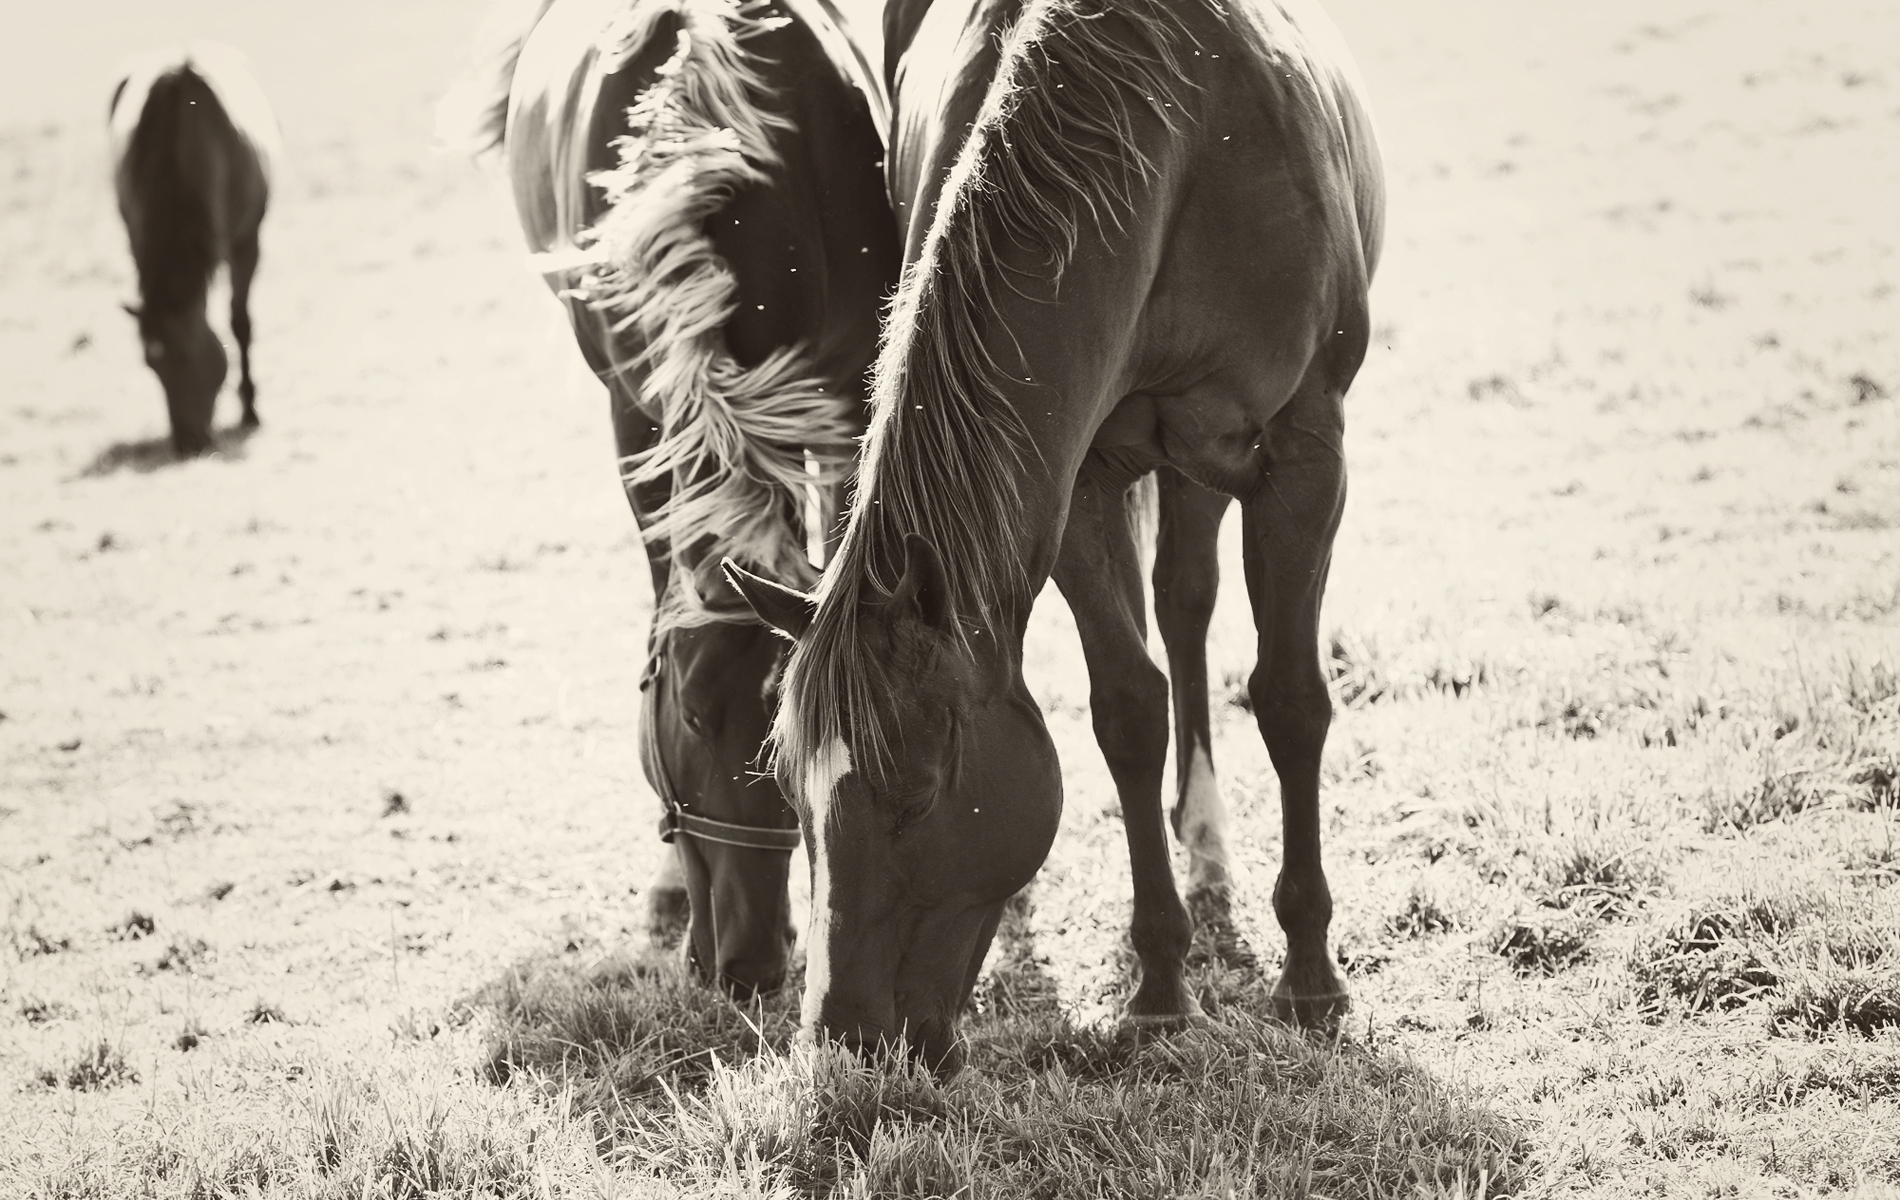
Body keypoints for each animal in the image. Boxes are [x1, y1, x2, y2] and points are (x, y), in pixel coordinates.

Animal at [111, 44, 277, 457]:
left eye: (187, 356)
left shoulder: (247, 242)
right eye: (151, 366)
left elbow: (240, 323)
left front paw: (250, 410)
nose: (187, 443)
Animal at [725, 0, 1383, 1070]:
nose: (844, 1040)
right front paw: (1160, 988)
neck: (1179, 137)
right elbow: (1128, 710)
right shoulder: (1079, 480)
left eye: (917, 789)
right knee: (1177, 603)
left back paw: (1209, 843)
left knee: (1191, 601)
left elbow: (1289, 700)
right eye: (788, 791)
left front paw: (1311, 980)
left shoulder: (1304, 454)